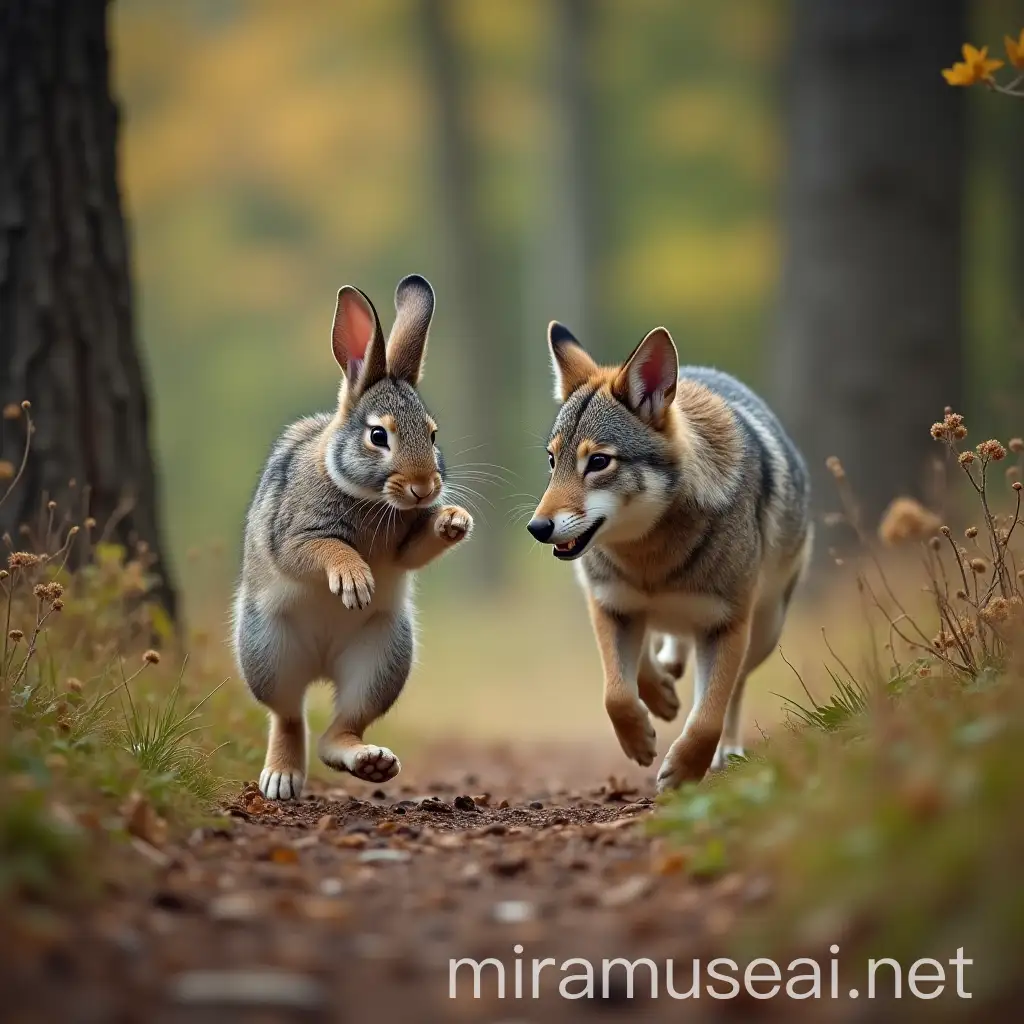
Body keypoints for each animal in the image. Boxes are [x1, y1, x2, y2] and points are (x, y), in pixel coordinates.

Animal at [232, 276, 471, 802]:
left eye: (433, 433)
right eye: (379, 436)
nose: (425, 487)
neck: (371, 499)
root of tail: (323, 664)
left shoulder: (404, 544)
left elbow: (415, 549)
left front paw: (455, 520)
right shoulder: (293, 533)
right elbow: (324, 548)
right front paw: (354, 581)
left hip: (383, 657)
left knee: (340, 728)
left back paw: (370, 762)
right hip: (267, 650)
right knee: (287, 715)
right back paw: (281, 778)